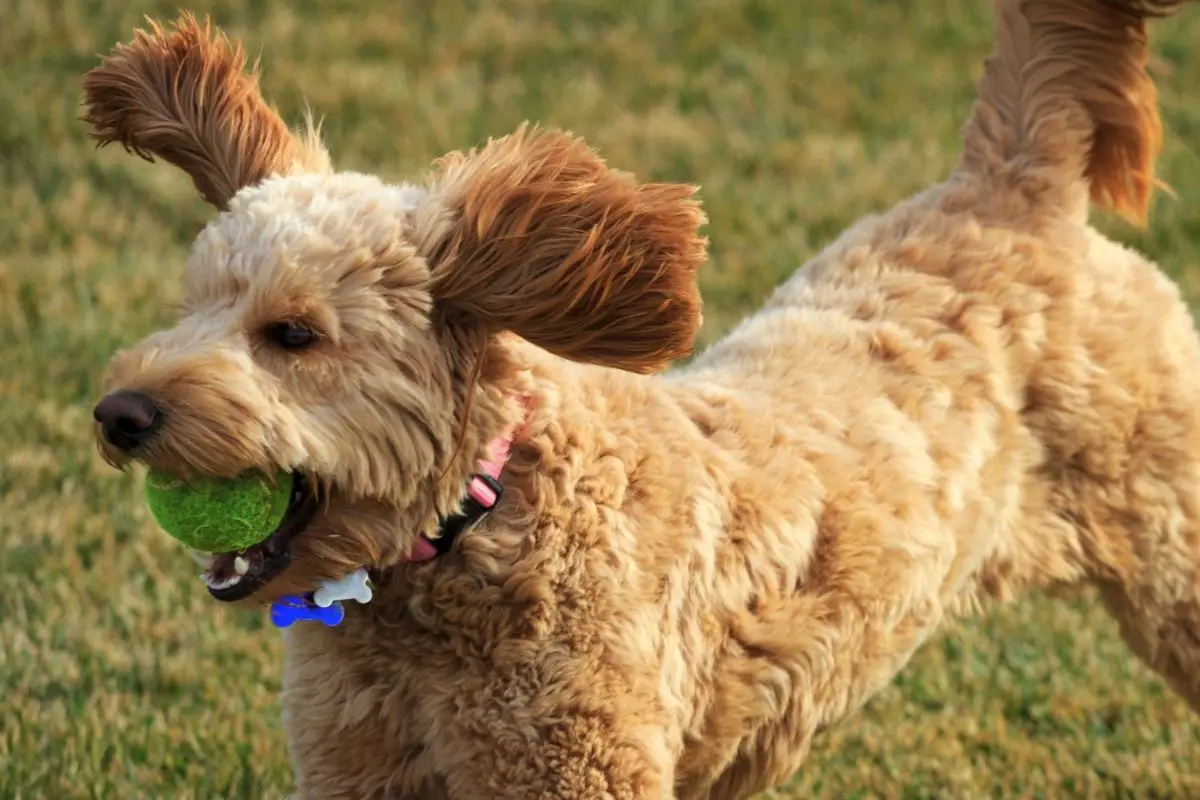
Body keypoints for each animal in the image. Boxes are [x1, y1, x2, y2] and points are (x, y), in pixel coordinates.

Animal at [84, 3, 1200, 796]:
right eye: (192, 307)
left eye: (293, 335)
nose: (120, 413)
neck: (477, 523)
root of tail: (1008, 188)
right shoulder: (360, 764)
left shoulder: (576, 759)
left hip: (1173, 543)